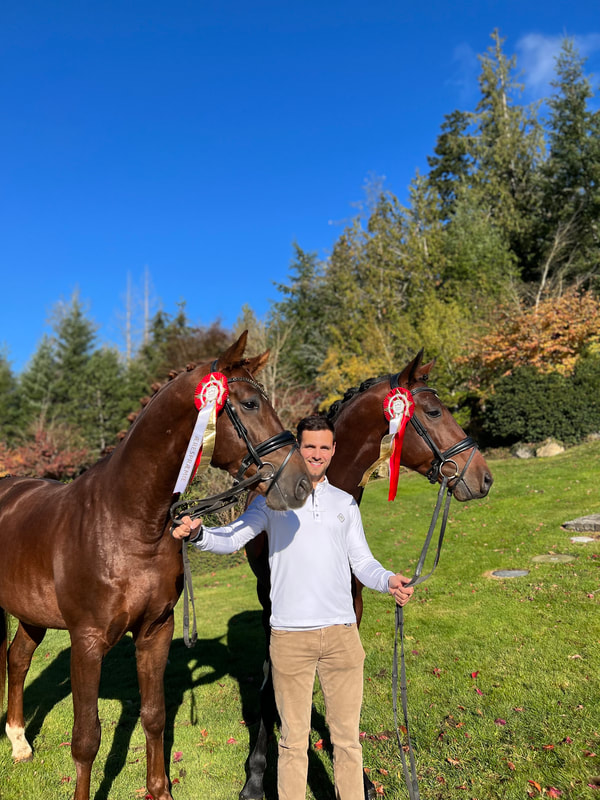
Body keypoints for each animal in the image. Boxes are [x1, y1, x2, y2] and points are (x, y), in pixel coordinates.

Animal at [0, 331, 312, 800]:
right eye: (250, 404)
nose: (301, 484)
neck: (129, 521)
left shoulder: (155, 631)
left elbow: (154, 715)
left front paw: (159, 790)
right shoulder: (86, 641)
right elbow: (86, 738)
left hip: (32, 614)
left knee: (17, 659)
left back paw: (19, 742)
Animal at [240, 350, 493, 800]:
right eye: (433, 411)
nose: (483, 477)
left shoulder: (349, 611)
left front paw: (358, 777)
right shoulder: (277, 616)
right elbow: (272, 691)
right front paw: (254, 778)